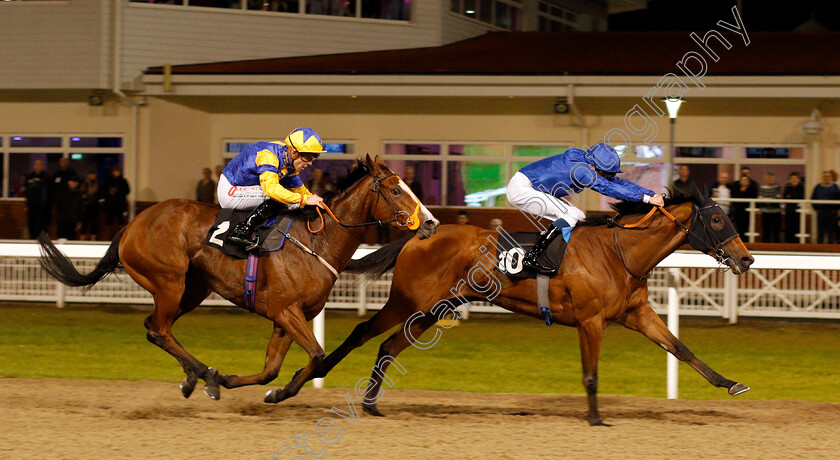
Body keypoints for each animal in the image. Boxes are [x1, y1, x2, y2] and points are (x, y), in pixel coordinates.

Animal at [37, 156, 440, 404]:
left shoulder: (287, 317)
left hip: (192, 289)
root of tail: (133, 223)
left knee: (155, 327)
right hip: (169, 281)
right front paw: (240, 383)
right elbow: (317, 355)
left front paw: (273, 392)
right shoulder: (286, 310)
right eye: (395, 190)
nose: (432, 223)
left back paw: (192, 378)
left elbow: (272, 369)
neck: (315, 241)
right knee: (160, 330)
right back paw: (207, 376)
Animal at [302, 189, 756, 426]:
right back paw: (305, 380)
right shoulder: (591, 321)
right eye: (718, 221)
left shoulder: (636, 314)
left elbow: (681, 348)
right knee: (364, 334)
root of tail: (420, 235)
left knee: (388, 347)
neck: (620, 252)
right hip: (408, 301)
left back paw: (371, 403)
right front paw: (595, 419)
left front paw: (731, 383)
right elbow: (591, 374)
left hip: (434, 308)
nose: (747, 259)